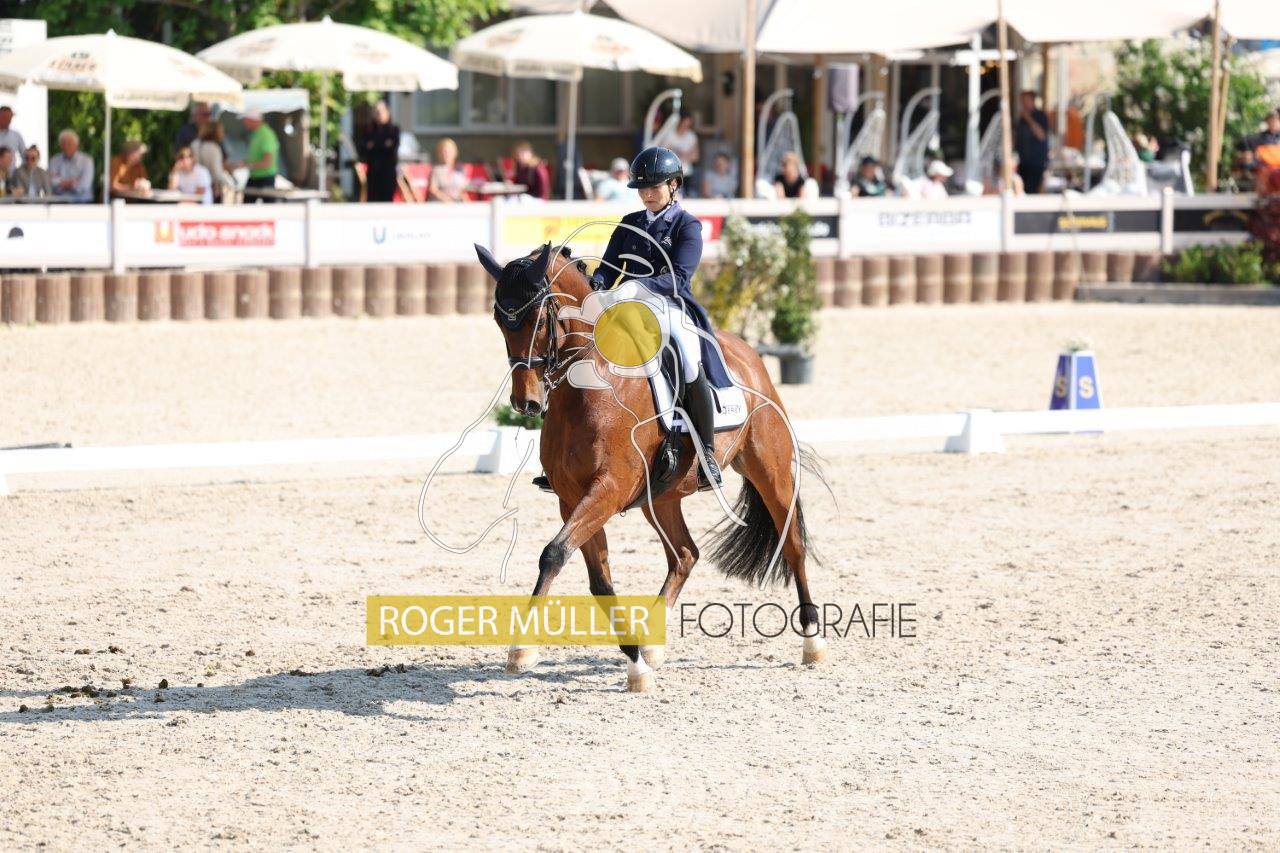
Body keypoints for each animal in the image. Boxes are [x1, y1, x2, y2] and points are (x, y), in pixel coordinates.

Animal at [475, 241, 828, 692]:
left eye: (538, 318)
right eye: (500, 320)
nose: (527, 403)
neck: (588, 388)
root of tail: (747, 352)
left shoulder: (607, 489)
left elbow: (553, 554)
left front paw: (523, 649)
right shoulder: (572, 498)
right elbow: (597, 578)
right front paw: (634, 662)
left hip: (769, 468)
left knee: (793, 544)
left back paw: (813, 644)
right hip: (661, 497)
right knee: (685, 555)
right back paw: (654, 645)